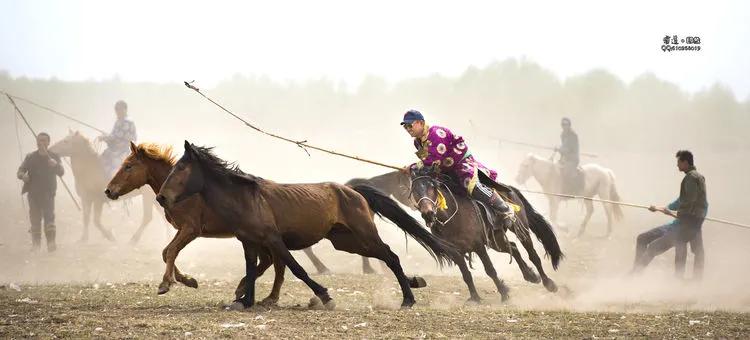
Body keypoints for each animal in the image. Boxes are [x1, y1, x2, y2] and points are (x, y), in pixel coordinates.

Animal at [103, 142, 328, 302]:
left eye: (128, 166)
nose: (108, 190)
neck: (186, 193)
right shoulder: (182, 229)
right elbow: (166, 252)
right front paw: (188, 280)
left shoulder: (191, 229)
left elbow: (172, 251)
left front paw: (166, 284)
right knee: (273, 261)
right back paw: (253, 292)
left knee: (276, 260)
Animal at [157, 141, 458, 308]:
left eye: (181, 168)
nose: (161, 197)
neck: (245, 198)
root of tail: (354, 191)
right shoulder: (249, 242)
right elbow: (252, 270)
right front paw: (245, 301)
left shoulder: (273, 240)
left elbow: (295, 268)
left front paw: (325, 296)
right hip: (346, 242)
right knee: (385, 255)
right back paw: (413, 285)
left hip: (363, 234)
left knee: (390, 256)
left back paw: (408, 299)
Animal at [408, 169, 560, 302]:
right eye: (414, 189)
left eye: (432, 187)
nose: (428, 213)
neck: (452, 217)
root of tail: (508, 188)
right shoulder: (455, 253)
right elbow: (466, 275)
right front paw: (475, 298)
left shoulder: (478, 246)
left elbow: (490, 270)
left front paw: (504, 294)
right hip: (495, 241)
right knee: (513, 247)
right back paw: (530, 275)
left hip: (520, 230)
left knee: (533, 255)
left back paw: (549, 283)